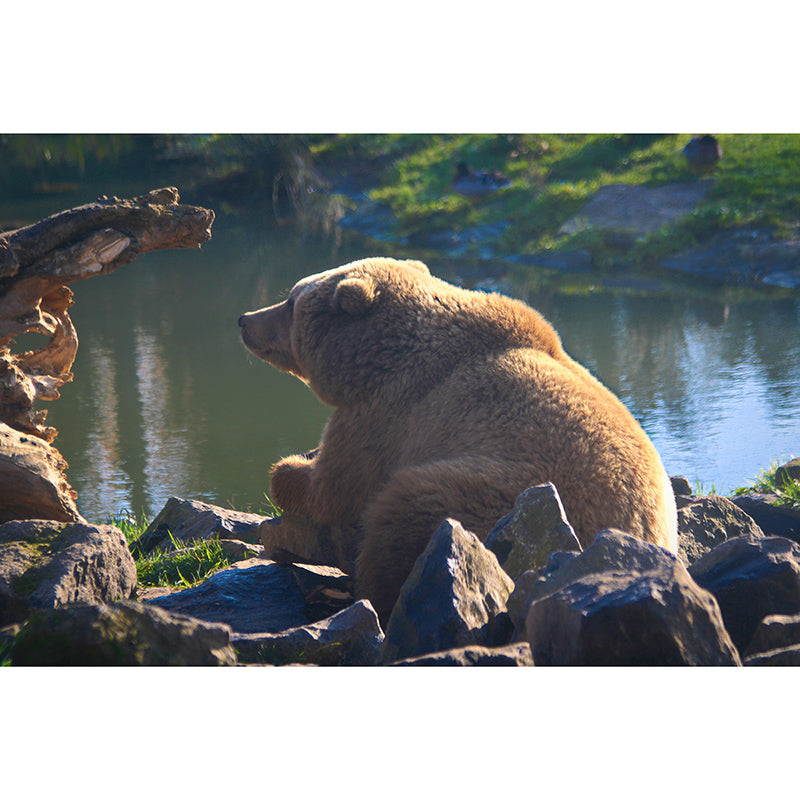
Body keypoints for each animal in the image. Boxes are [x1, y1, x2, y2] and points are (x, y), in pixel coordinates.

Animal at [238, 256, 678, 625]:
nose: (245, 319)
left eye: (290, 301)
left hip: (507, 499)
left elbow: (334, 488)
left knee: (405, 513)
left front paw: (289, 468)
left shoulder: (389, 414)